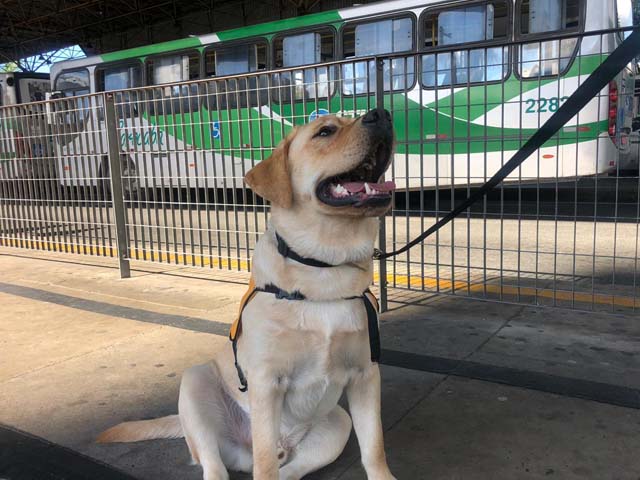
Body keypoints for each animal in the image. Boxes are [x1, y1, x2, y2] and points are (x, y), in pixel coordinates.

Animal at [97, 109, 398, 480]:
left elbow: (374, 447)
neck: (325, 268)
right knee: (222, 465)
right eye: (325, 131)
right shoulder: (266, 382)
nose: (381, 114)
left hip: (337, 424)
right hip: (195, 383)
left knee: (287, 469)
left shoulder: (366, 374)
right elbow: (264, 464)